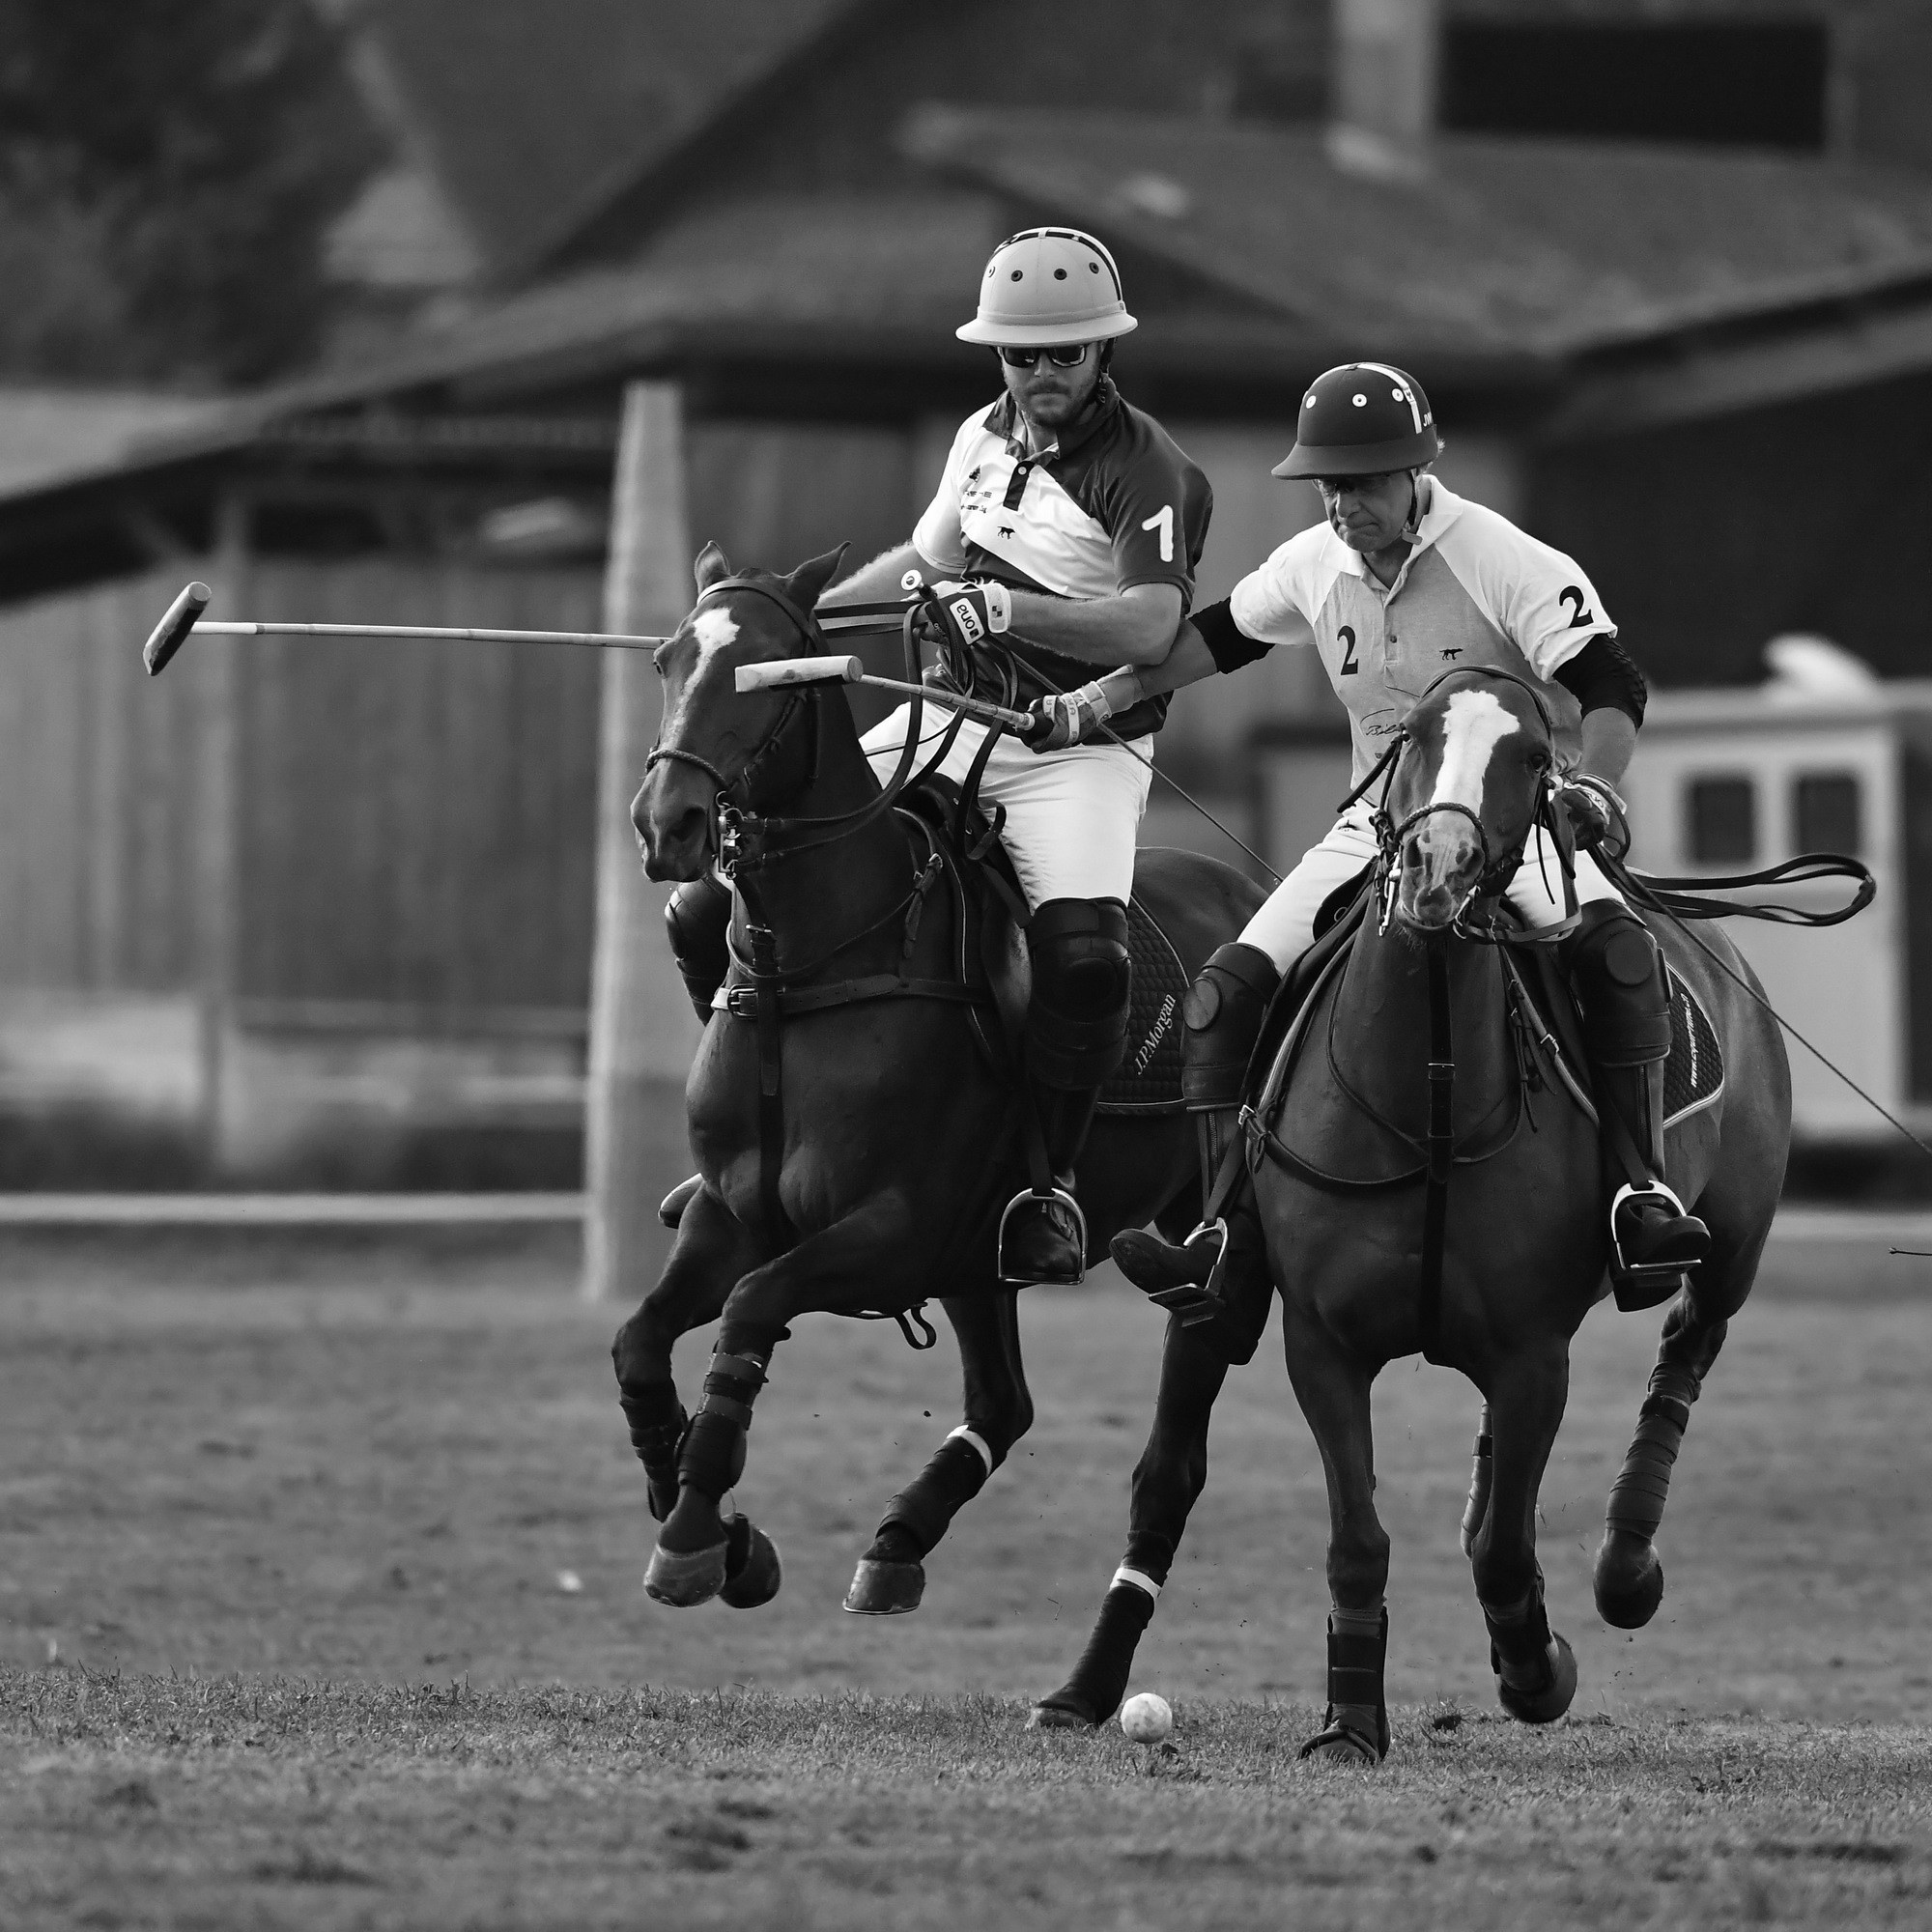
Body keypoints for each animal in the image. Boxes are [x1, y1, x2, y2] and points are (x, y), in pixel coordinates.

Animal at [616, 541, 1264, 1616]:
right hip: (974, 1262)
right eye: (668, 659)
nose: (667, 822)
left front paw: (699, 1537)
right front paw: (725, 1535)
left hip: (1184, 1230)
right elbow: (639, 1340)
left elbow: (750, 1308)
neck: (810, 969)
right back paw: (896, 1541)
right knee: (1003, 1402)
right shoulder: (730, 1211)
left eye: (766, 673)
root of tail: (1260, 889)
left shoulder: (890, 1228)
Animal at [1033, 664, 1791, 1759]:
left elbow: (1506, 1549)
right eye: (1417, 736)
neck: (1424, 1089)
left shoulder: (1531, 1353)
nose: (1437, 868)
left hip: (1734, 1235)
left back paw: (1626, 1565)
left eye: (1533, 754)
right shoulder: (1322, 1341)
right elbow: (1361, 1536)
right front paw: (1350, 1720)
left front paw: (1536, 1668)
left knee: (1684, 1350)